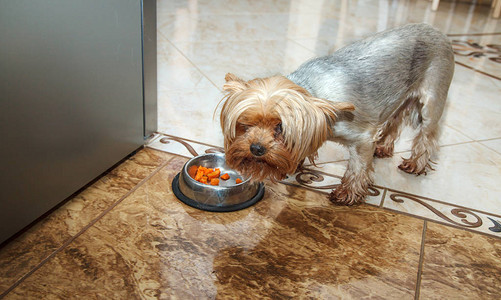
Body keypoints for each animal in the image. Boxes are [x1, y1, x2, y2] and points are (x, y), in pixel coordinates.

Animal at [219, 23, 454, 205]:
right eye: (245, 124)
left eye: (280, 127)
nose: (256, 148)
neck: (311, 92)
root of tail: (438, 31)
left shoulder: (362, 137)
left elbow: (358, 167)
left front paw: (348, 193)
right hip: (399, 96)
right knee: (395, 121)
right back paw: (384, 147)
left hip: (434, 94)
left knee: (428, 134)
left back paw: (416, 164)